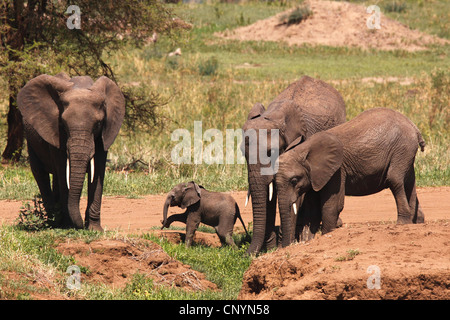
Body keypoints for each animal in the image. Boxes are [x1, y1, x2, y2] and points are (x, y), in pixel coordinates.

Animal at [16, 72, 125, 230]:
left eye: (97, 124)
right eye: (63, 124)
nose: (82, 226)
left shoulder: (104, 135)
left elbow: (98, 172)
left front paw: (95, 229)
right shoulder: (56, 134)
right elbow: (63, 173)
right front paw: (69, 226)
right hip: (31, 141)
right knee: (40, 174)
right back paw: (53, 222)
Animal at [243, 75, 344, 255]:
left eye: (270, 152)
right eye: (243, 153)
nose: (246, 256)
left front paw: (284, 246)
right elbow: (271, 193)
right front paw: (273, 248)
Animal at [274, 107, 426, 248]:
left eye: (294, 180)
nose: (287, 246)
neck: (304, 149)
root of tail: (414, 127)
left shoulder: (337, 170)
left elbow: (332, 205)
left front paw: (327, 234)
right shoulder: (315, 176)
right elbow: (313, 209)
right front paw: (308, 240)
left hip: (402, 149)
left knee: (394, 179)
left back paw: (402, 223)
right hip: (406, 152)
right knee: (409, 182)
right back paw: (417, 222)